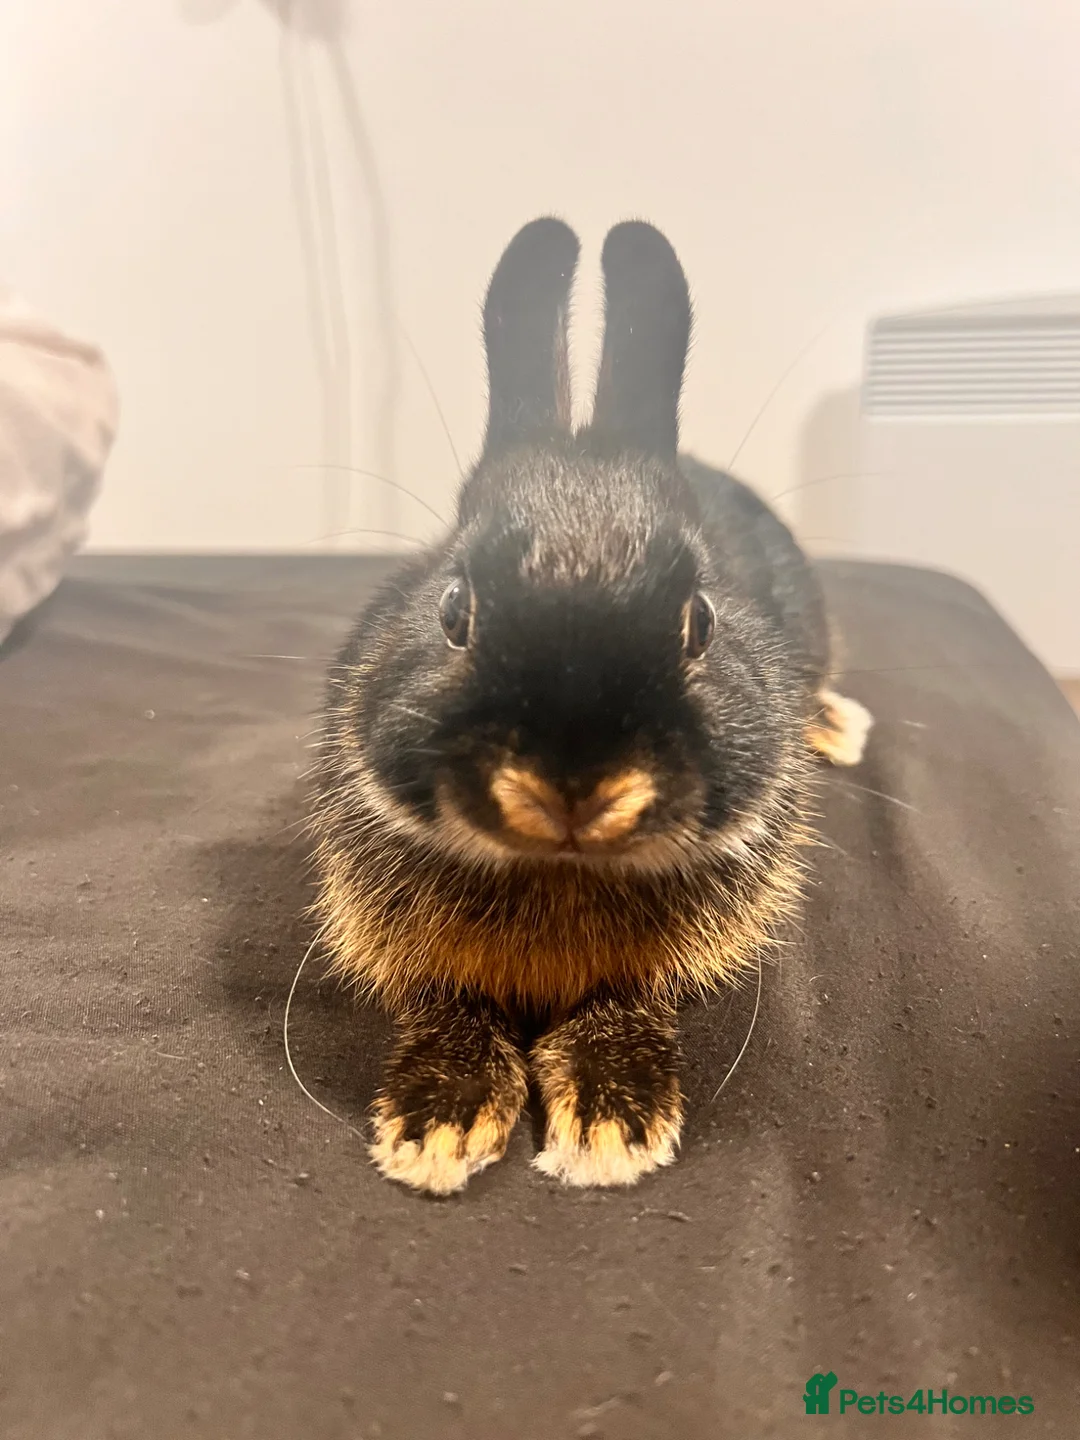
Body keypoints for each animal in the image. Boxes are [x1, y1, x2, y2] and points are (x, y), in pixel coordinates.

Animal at [310, 217, 872, 1195]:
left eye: (700, 621)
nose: (574, 787)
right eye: (454, 611)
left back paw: (837, 726)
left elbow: (622, 1002)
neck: (559, 867)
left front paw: (613, 1125)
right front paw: (438, 1127)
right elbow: (446, 1004)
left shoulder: (653, 966)